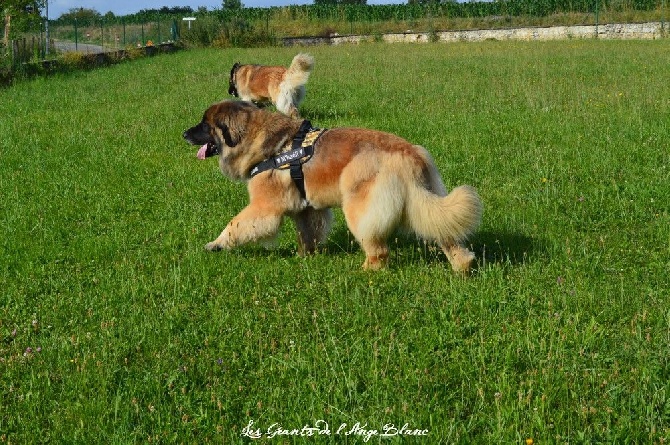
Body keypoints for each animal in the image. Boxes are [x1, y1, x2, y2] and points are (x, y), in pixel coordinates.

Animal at [184, 100, 484, 272]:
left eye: (204, 125)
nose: (184, 133)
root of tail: (409, 154)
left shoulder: (263, 207)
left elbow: (235, 224)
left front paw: (216, 244)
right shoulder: (307, 209)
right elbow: (308, 234)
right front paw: (305, 257)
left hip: (359, 208)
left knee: (379, 250)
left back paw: (366, 271)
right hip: (425, 202)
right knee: (444, 232)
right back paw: (463, 264)